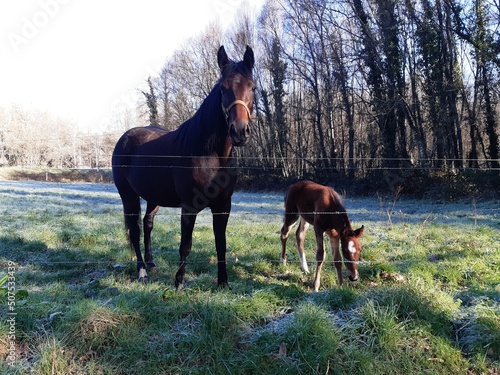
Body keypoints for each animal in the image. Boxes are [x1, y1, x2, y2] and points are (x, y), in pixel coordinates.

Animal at [112, 46, 256, 288]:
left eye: (252, 87)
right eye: (222, 89)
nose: (239, 132)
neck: (211, 154)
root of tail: (124, 138)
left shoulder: (223, 206)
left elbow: (221, 244)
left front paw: (223, 283)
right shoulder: (189, 206)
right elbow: (185, 245)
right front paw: (179, 283)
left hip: (153, 197)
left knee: (148, 223)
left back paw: (152, 264)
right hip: (128, 196)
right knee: (135, 230)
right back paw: (142, 271)